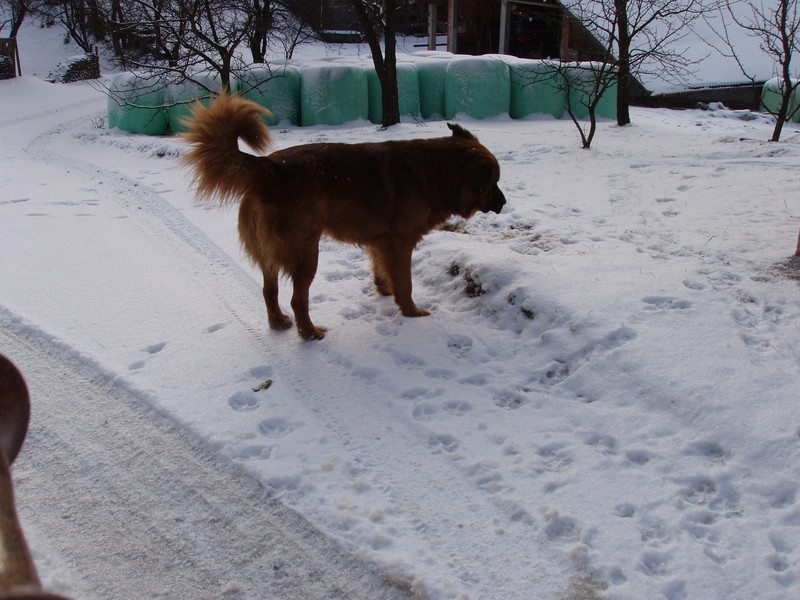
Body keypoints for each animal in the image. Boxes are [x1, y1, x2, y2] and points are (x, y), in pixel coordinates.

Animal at [182, 92, 506, 340]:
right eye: (491, 183)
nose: (504, 203)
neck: (434, 172)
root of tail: (270, 169)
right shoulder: (399, 243)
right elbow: (405, 283)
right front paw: (411, 313)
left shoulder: (380, 243)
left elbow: (381, 271)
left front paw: (384, 290)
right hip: (306, 253)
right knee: (297, 299)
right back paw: (309, 333)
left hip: (271, 254)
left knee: (269, 290)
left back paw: (278, 322)